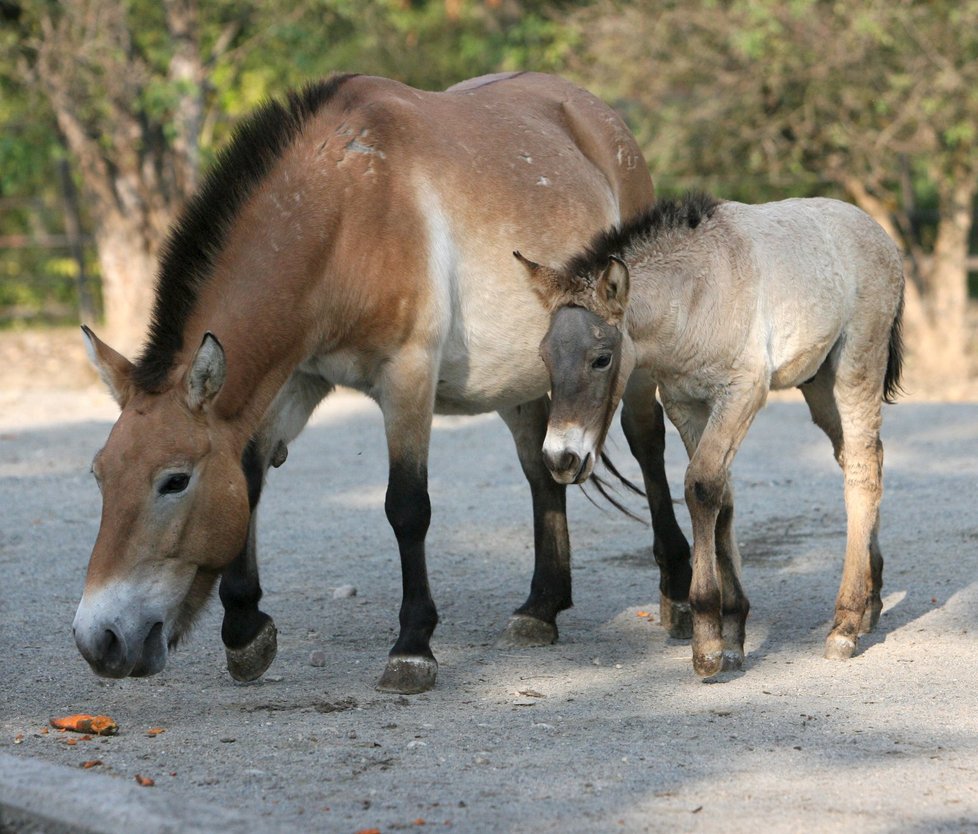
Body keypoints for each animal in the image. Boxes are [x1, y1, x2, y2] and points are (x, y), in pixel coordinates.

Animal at [74, 73, 688, 696]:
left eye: (173, 481)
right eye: (99, 476)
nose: (100, 641)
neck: (346, 215)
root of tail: (596, 116)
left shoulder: (407, 375)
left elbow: (407, 507)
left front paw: (412, 648)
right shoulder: (293, 382)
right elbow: (248, 483)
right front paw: (245, 630)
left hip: (628, 367)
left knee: (649, 448)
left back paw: (679, 597)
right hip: (519, 382)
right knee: (542, 473)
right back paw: (541, 607)